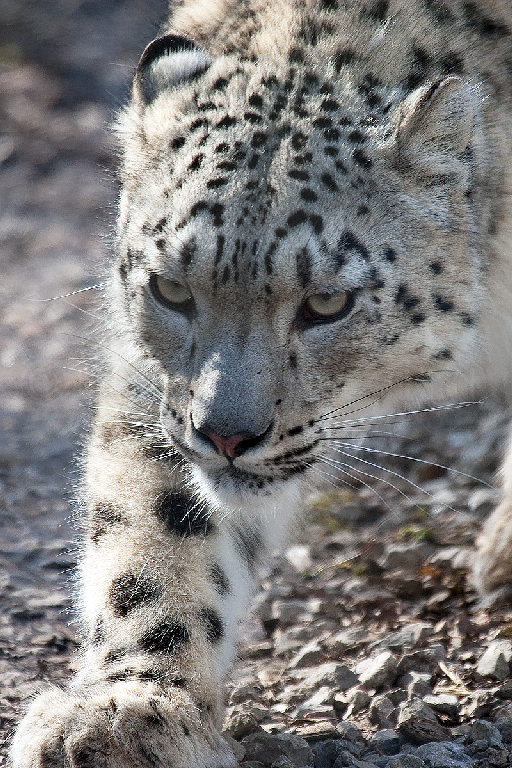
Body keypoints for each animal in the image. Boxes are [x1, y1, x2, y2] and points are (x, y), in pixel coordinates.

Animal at [11, 0, 512, 766]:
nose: (225, 435)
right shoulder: (150, 384)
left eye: (328, 302)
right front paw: (123, 711)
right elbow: (152, 523)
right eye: (171, 288)